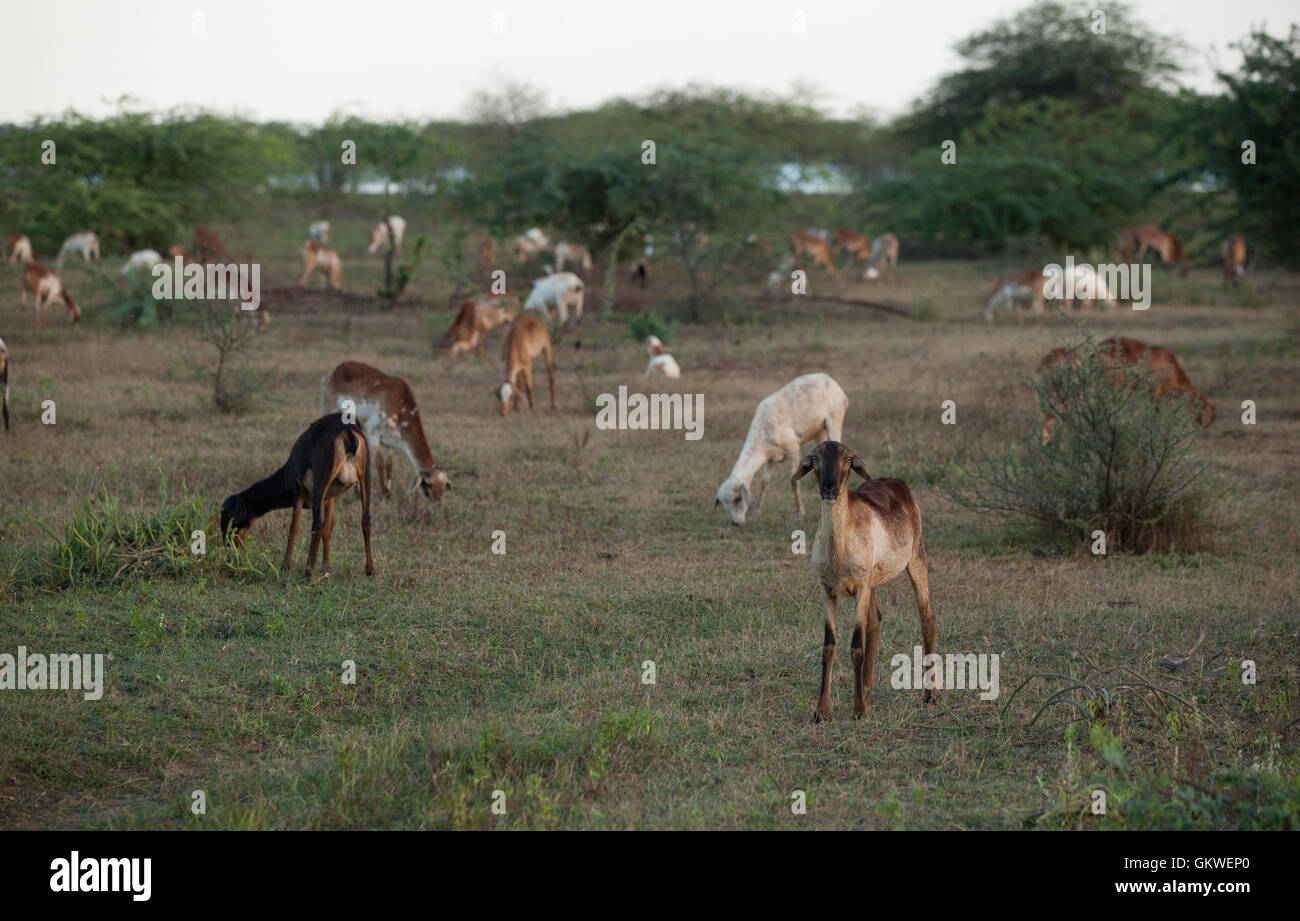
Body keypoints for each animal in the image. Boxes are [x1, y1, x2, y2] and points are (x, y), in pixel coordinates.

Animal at [219, 412, 375, 578]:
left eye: (228, 517)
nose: (227, 544)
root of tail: (348, 430)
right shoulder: (331, 498)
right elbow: (328, 529)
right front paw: (326, 568)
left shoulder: (298, 491)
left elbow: (294, 528)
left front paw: (285, 566)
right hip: (365, 477)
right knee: (365, 520)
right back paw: (370, 570)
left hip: (321, 481)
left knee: (316, 524)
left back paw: (308, 572)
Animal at [321, 361, 450, 505]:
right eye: (429, 484)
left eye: (444, 485)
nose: (437, 504)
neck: (401, 406)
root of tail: (335, 371)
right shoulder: (372, 432)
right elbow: (379, 463)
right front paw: (384, 493)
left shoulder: (390, 442)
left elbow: (389, 465)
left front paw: (388, 493)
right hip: (329, 408)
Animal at [715, 372, 847, 525]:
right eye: (724, 504)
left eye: (737, 499)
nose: (736, 523)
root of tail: (831, 381)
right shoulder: (771, 456)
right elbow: (764, 483)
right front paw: (757, 514)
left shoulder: (792, 447)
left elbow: (794, 482)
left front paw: (800, 515)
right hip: (819, 432)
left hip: (834, 421)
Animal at [792, 441, 937, 721]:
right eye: (814, 458)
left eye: (848, 459)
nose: (829, 489)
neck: (838, 550)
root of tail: (898, 482)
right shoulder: (827, 591)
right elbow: (829, 647)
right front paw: (821, 712)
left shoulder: (859, 589)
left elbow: (856, 646)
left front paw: (858, 712)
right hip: (873, 582)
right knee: (876, 622)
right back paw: (867, 692)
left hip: (916, 557)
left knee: (927, 618)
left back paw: (931, 696)